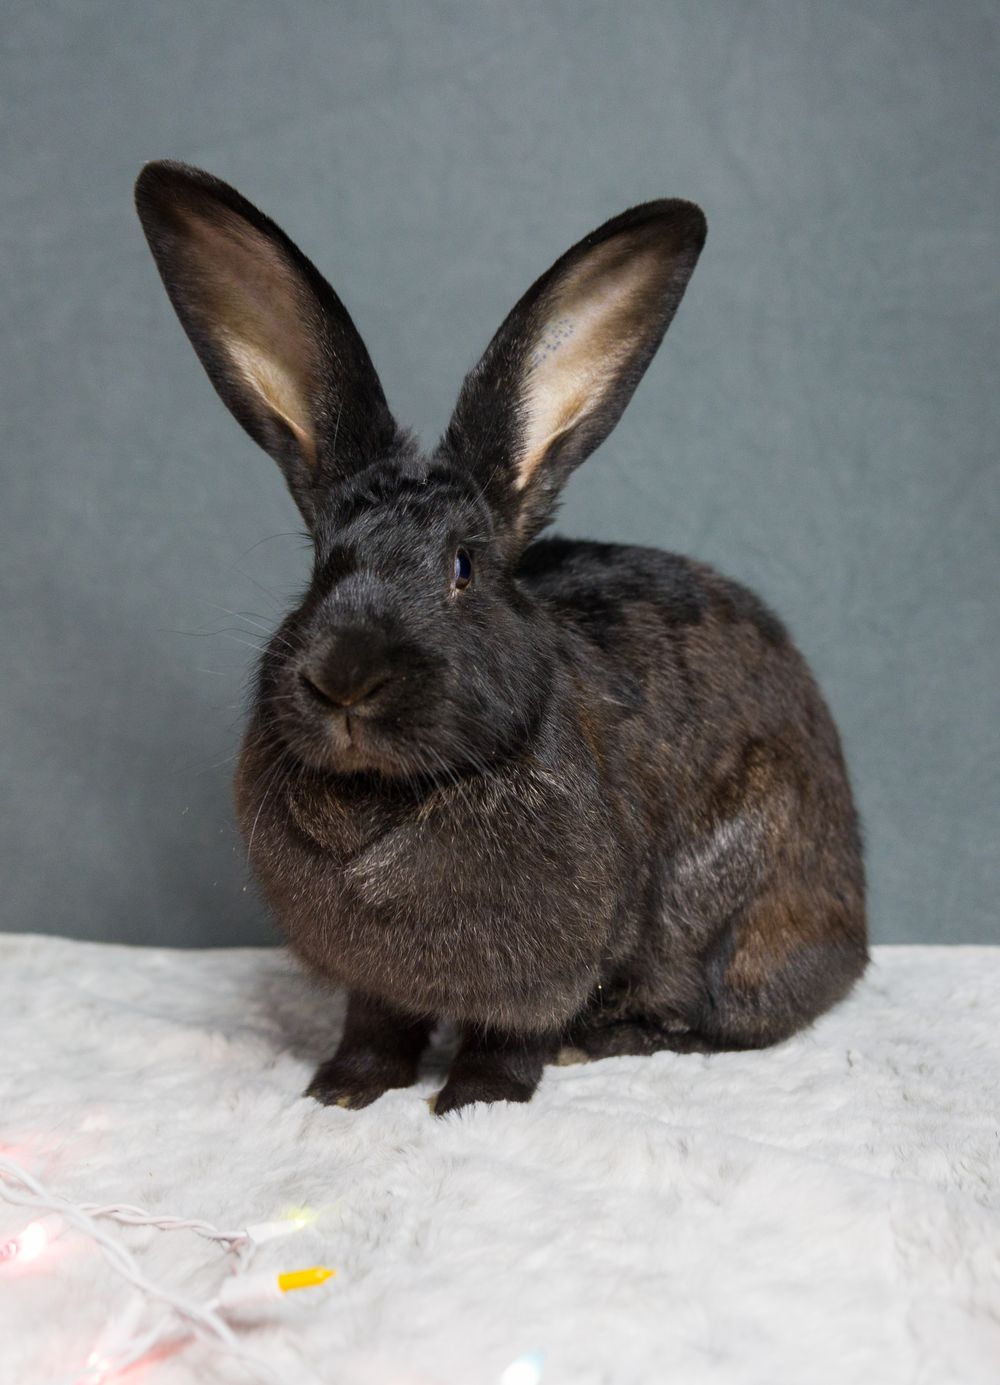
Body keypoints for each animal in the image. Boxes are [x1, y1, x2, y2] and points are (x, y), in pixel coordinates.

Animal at [135, 161, 868, 1116]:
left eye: (464, 568)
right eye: (323, 564)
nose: (345, 677)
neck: (388, 793)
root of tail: (855, 934)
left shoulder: (550, 969)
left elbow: (511, 1033)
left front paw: (473, 1100)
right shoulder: (372, 982)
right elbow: (376, 1023)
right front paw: (342, 1090)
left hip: (734, 913)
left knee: (718, 1016)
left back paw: (601, 1041)